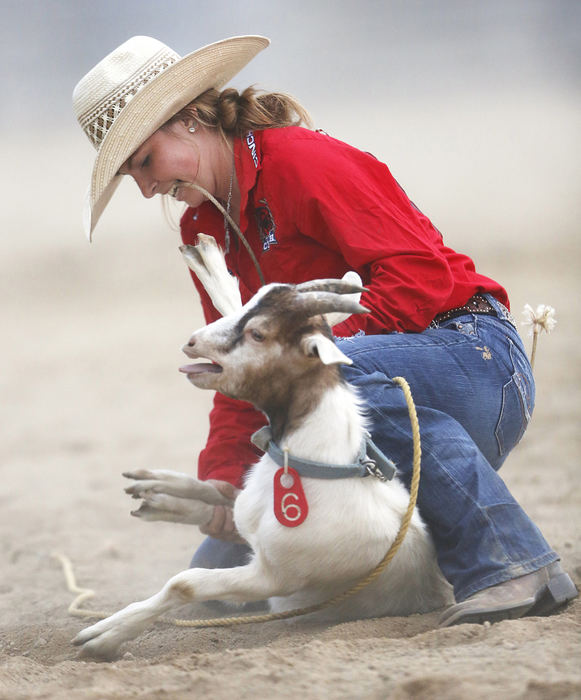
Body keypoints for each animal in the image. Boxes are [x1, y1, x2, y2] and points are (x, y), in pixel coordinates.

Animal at [72, 234, 450, 656]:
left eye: (258, 334)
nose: (192, 342)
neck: (320, 464)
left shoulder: (273, 576)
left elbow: (185, 582)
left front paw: (101, 635)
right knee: (226, 500)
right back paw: (157, 492)